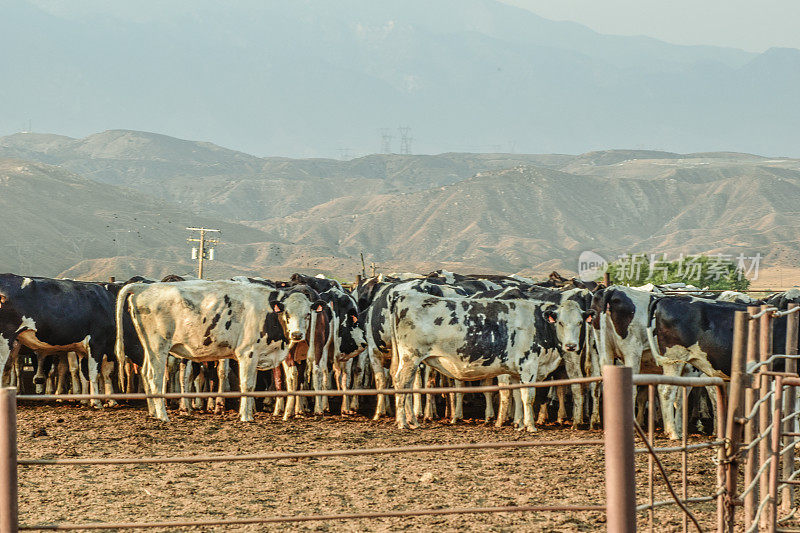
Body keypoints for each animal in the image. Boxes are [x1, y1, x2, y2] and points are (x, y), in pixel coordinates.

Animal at [115, 278, 322, 420]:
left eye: (307, 314)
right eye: (287, 313)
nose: (297, 334)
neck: (268, 313)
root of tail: (144, 287)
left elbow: (252, 384)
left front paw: (248, 414)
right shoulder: (247, 353)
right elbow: (247, 385)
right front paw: (246, 417)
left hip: (149, 347)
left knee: (145, 372)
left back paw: (154, 412)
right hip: (159, 346)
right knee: (155, 377)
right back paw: (163, 416)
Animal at [388, 288, 556, 430]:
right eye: (560, 322)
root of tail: (403, 296)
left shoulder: (516, 370)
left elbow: (517, 395)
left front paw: (519, 424)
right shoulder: (528, 366)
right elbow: (527, 396)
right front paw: (530, 426)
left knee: (406, 385)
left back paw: (412, 421)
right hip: (410, 357)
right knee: (402, 382)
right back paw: (403, 423)